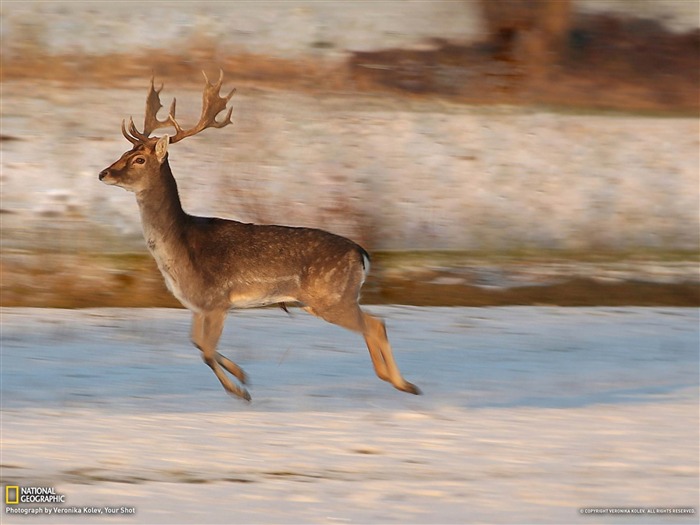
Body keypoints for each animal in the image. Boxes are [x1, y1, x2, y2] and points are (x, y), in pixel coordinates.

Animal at [95, 69, 418, 398]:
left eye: (139, 160)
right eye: (125, 151)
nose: (103, 173)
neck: (180, 249)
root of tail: (361, 252)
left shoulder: (216, 300)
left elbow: (206, 351)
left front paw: (240, 390)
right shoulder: (198, 305)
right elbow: (197, 344)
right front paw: (242, 375)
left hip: (332, 297)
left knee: (376, 324)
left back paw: (404, 384)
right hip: (323, 301)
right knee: (373, 324)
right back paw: (391, 379)